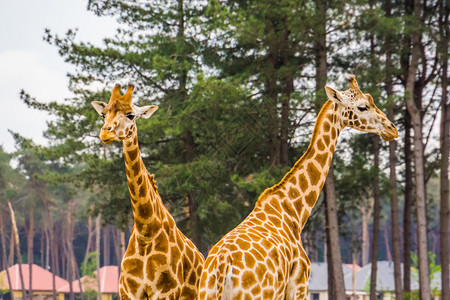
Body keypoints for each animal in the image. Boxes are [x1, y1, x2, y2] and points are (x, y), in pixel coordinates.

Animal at [91, 82, 204, 300]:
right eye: (104, 114)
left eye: (131, 115)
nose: (105, 133)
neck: (146, 230)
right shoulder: (128, 292)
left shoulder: (166, 292)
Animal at [197, 75, 398, 300]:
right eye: (362, 106)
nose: (392, 129)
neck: (295, 211)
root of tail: (221, 267)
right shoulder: (300, 285)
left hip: (205, 292)